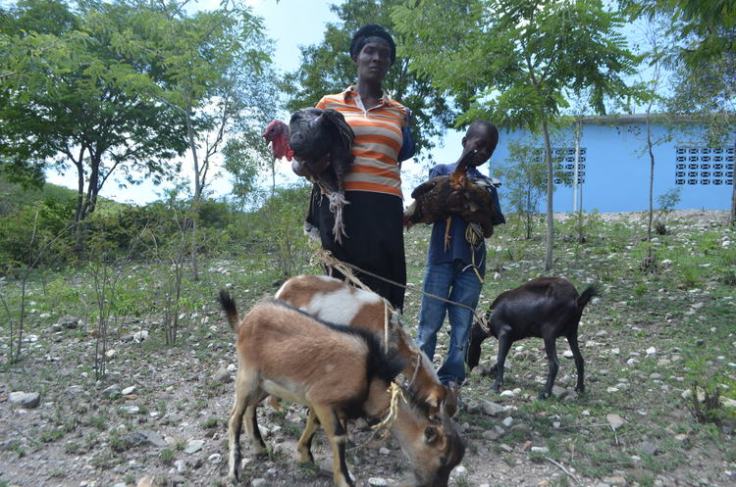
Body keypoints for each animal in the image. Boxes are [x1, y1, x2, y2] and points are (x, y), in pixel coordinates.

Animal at [219, 293, 465, 487]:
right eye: (442, 458)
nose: (436, 485)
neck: (370, 376)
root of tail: (244, 321)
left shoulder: (327, 404)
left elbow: (314, 423)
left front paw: (305, 456)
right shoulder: (322, 398)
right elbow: (338, 436)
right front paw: (344, 479)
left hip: (264, 383)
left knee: (250, 408)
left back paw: (260, 448)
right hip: (247, 375)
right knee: (234, 417)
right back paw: (234, 471)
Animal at [466, 277, 598, 399]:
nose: (470, 370)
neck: (488, 321)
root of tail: (577, 299)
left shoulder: (504, 332)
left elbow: (500, 359)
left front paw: (496, 385)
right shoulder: (510, 339)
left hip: (549, 333)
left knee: (554, 364)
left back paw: (545, 393)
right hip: (572, 333)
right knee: (579, 359)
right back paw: (579, 389)